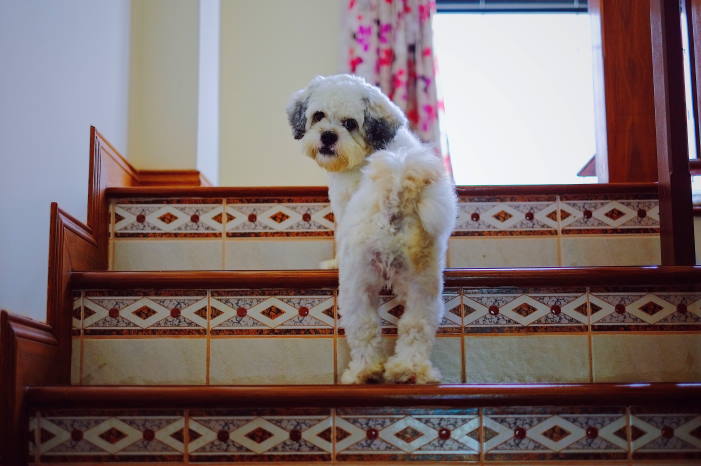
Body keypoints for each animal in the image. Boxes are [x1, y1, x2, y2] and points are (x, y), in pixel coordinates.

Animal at [288, 74, 456, 384]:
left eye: (350, 123)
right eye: (318, 116)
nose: (328, 136)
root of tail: (396, 195)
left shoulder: (343, 205)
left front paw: (333, 262)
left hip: (357, 283)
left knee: (364, 328)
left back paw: (363, 371)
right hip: (424, 284)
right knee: (416, 326)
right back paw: (409, 369)